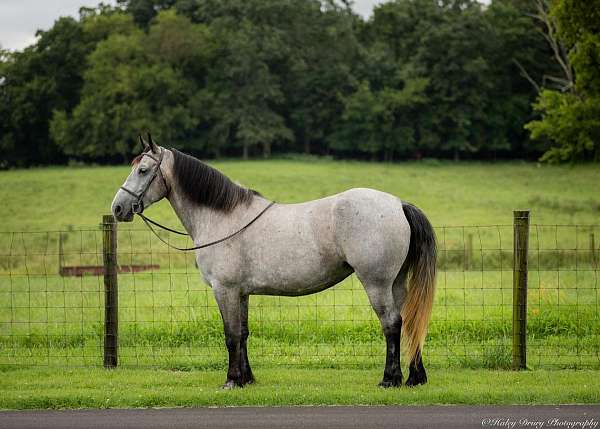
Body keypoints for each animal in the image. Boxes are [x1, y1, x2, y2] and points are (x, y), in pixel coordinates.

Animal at [111, 136, 436, 388]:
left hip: (376, 283)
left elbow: (230, 335)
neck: (224, 218)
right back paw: (414, 377)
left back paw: (390, 379)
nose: (118, 208)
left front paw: (231, 380)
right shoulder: (241, 293)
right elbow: (243, 334)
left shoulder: (224, 290)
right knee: (409, 321)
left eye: (142, 170)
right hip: (395, 283)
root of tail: (398, 204)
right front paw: (247, 379)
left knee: (391, 323)